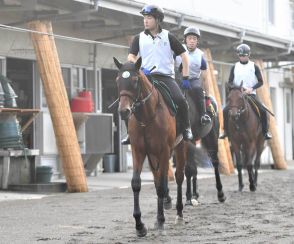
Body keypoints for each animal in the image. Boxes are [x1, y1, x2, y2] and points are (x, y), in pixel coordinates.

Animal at [114, 56, 186, 236]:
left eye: (134, 80)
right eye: (118, 80)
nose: (124, 111)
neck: (147, 117)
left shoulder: (164, 151)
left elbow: (161, 186)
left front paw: (160, 221)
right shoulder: (139, 151)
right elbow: (136, 184)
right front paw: (140, 225)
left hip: (179, 146)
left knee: (179, 177)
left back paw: (179, 214)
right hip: (152, 155)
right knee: (157, 179)